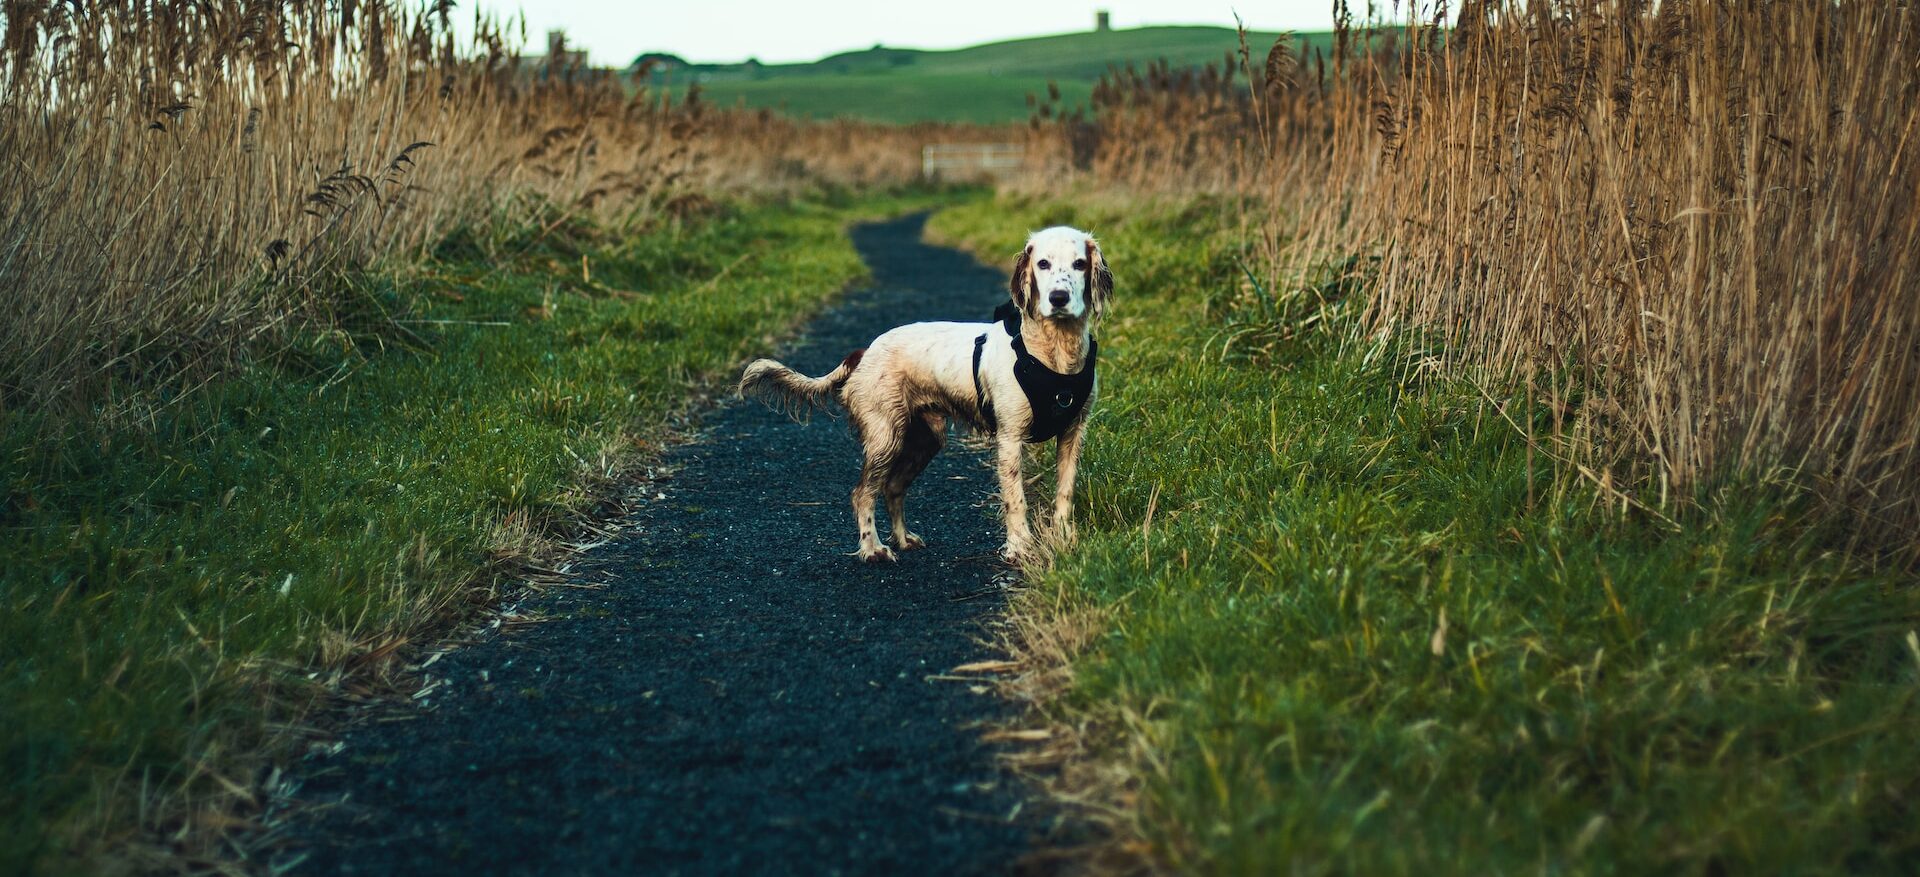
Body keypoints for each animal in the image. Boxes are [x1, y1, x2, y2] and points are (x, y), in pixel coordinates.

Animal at [741, 222, 1121, 556]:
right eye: (1043, 263)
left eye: (1079, 264)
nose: (1058, 297)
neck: (1053, 354)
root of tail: (865, 351)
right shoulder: (1010, 438)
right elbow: (1016, 499)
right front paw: (1019, 548)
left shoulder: (1072, 434)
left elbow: (1064, 493)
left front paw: (1064, 540)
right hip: (885, 437)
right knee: (862, 493)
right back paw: (873, 548)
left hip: (925, 439)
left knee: (893, 488)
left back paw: (902, 538)